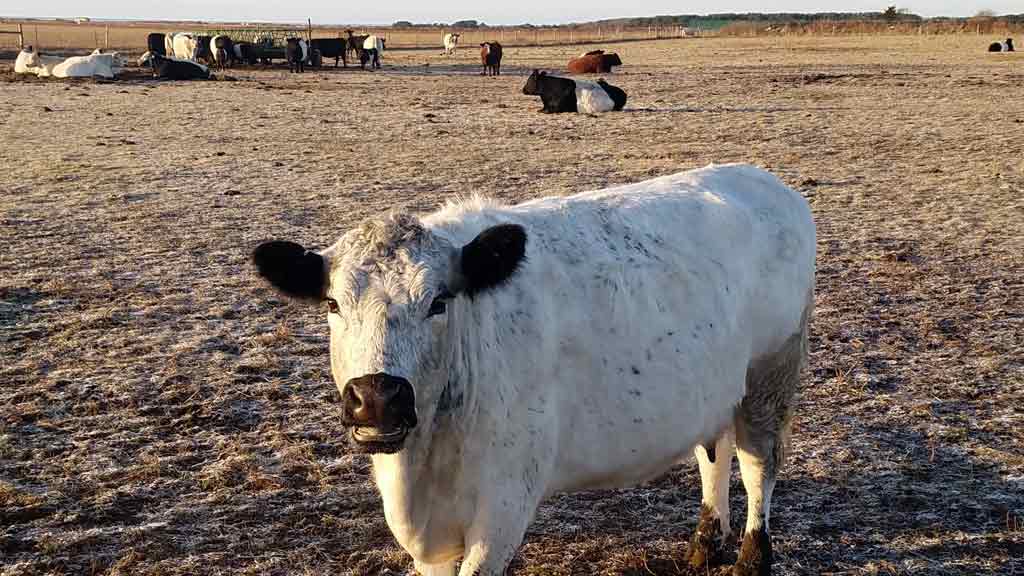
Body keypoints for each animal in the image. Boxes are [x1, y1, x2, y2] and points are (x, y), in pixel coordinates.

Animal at [253, 159, 815, 573]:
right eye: (332, 304)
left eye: (438, 301)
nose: (376, 399)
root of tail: (764, 180)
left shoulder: (504, 505)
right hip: (716, 385)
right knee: (713, 452)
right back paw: (704, 543)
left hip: (772, 373)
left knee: (758, 463)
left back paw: (750, 558)